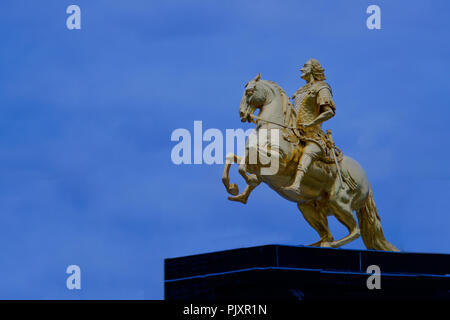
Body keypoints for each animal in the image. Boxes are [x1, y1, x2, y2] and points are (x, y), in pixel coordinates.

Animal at [221, 74, 398, 251]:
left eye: (250, 92)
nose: (242, 113)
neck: (275, 128)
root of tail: (366, 181)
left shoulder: (278, 161)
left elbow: (248, 158)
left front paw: (247, 180)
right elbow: (233, 157)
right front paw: (234, 189)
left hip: (338, 202)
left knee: (355, 231)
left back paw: (329, 245)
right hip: (307, 207)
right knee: (329, 233)